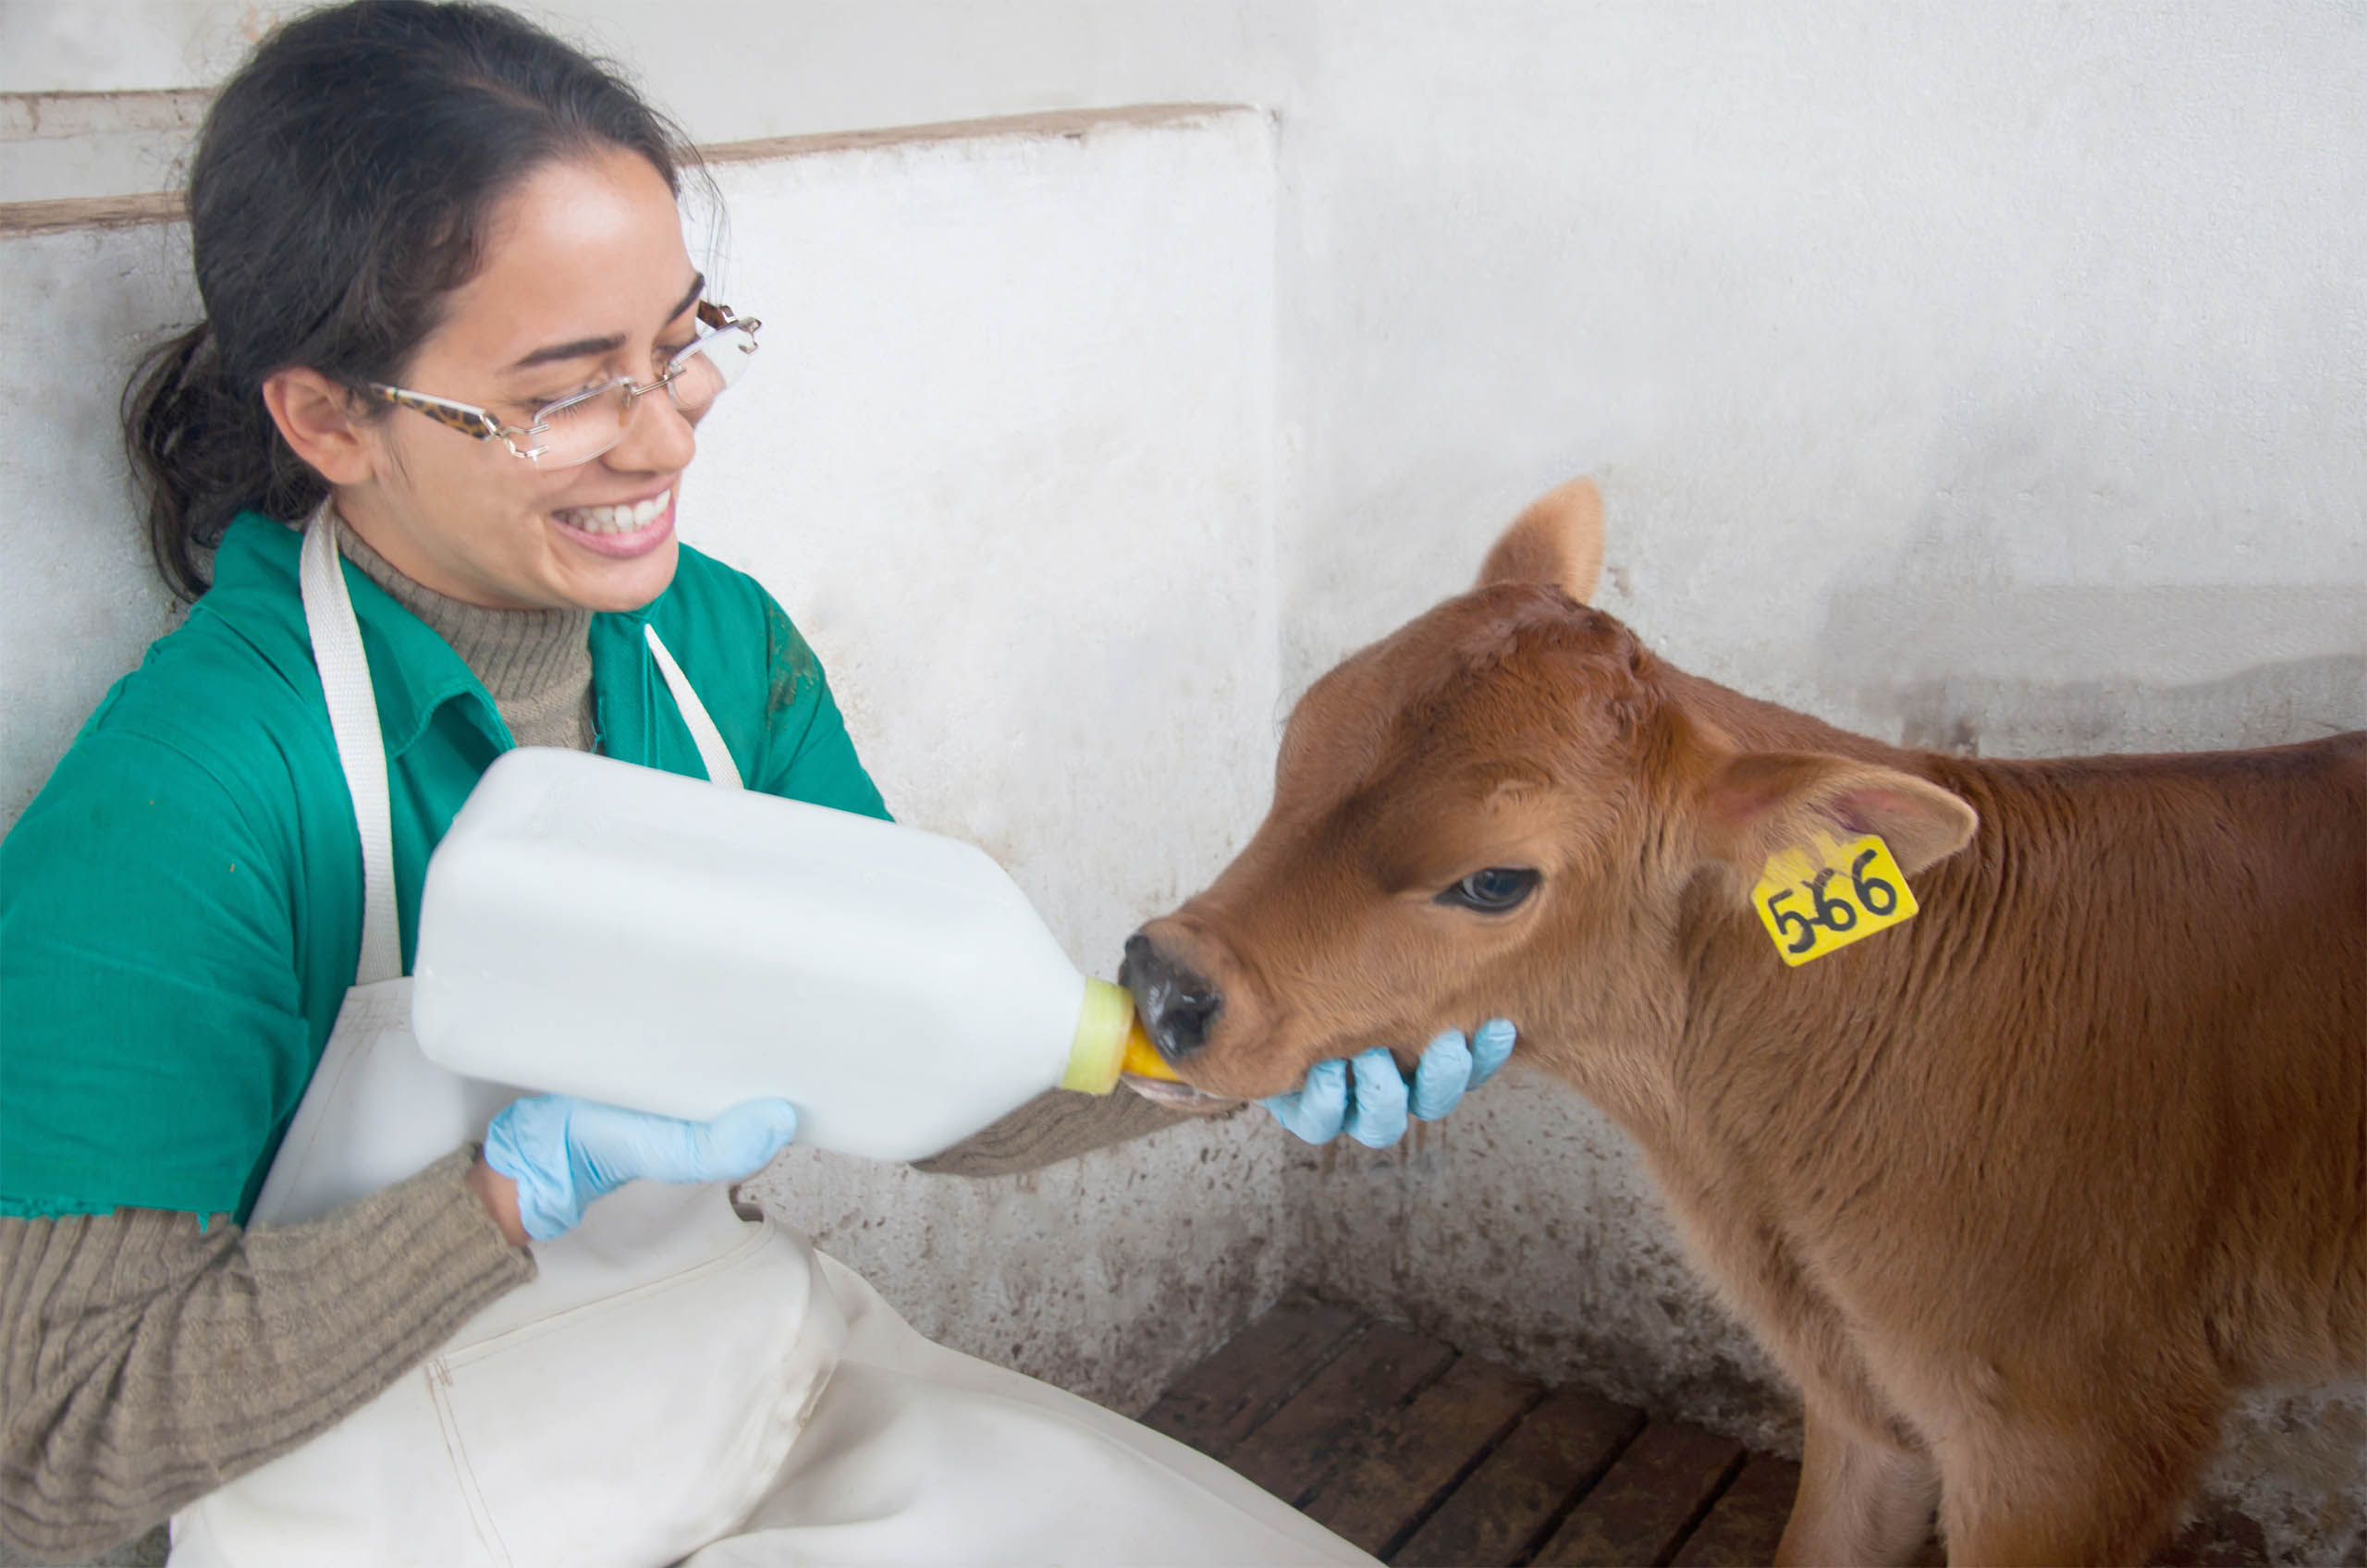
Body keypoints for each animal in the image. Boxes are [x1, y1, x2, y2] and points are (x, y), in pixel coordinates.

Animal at [1131, 483, 2367, 1568]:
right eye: (1299, 732)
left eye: (1493, 881)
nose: (1162, 982)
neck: (1747, 1165)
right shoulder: (1866, 1396)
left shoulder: (2074, 1432)